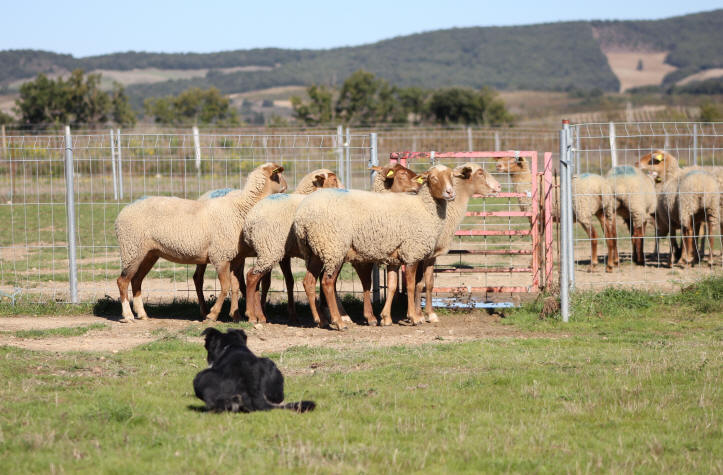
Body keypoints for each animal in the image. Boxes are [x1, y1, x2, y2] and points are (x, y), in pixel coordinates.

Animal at [114, 161, 288, 324]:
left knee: (136, 280)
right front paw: (213, 315)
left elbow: (235, 287)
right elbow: (225, 287)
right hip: (131, 248)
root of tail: (123, 211)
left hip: (149, 253)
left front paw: (236, 316)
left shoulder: (235, 257)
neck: (241, 208)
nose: (286, 190)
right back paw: (128, 316)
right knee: (122, 281)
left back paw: (142, 314)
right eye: (280, 178)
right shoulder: (220, 256)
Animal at [292, 165, 456, 330]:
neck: (424, 207)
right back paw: (339, 322)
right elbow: (410, 285)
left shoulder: (394, 257)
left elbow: (392, 285)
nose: (450, 193)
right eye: (433, 178)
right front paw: (414, 317)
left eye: (451, 176)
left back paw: (321, 320)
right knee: (327, 283)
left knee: (309, 282)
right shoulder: (412, 252)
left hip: (317, 250)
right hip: (334, 248)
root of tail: (302, 217)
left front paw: (386, 318)